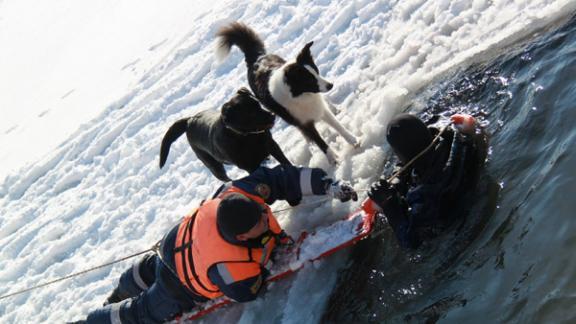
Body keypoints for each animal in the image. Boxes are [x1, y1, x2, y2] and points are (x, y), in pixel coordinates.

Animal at [159, 87, 290, 181]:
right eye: (250, 114)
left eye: (257, 104)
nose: (272, 116)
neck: (247, 137)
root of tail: (189, 120)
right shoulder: (250, 167)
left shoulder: (272, 145)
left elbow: (284, 161)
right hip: (214, 167)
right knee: (226, 179)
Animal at [217, 22, 360, 165]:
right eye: (309, 80)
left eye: (316, 72)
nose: (330, 85)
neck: (300, 96)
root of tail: (256, 58)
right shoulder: (303, 122)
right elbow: (319, 141)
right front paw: (333, 158)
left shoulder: (318, 107)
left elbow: (338, 125)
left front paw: (352, 140)